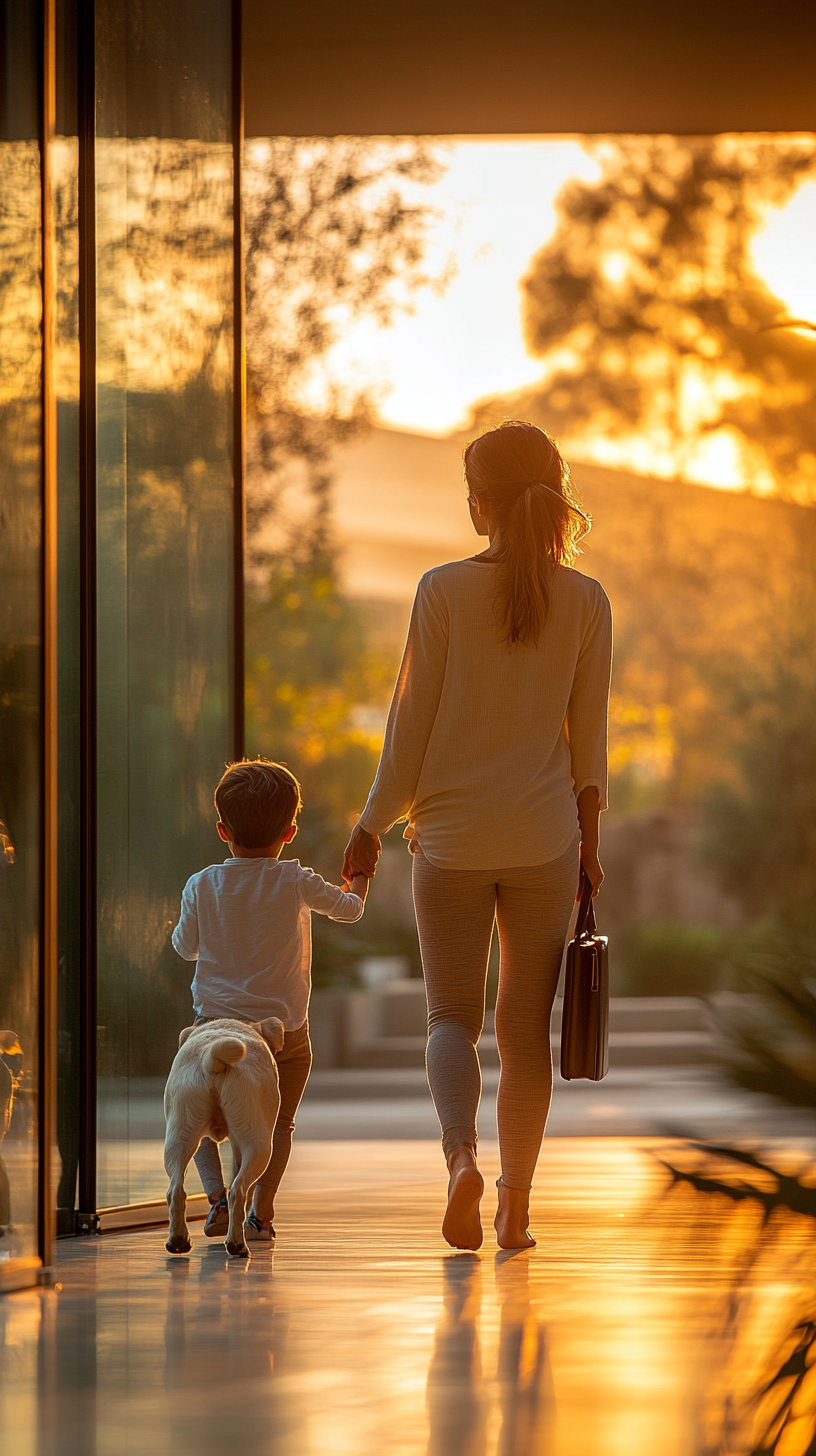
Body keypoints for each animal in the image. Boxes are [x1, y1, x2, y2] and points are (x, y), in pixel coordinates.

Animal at [161, 1019, 284, 1257]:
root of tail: (211, 1057)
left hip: (179, 1134)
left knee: (175, 1190)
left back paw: (179, 1241)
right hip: (259, 1145)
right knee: (238, 1190)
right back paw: (237, 1245)